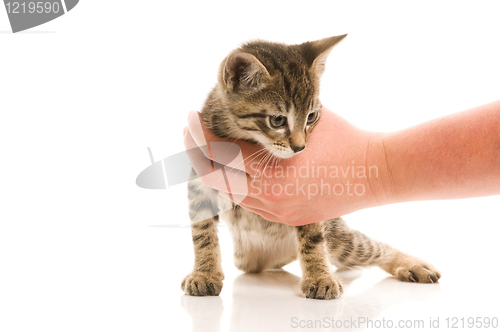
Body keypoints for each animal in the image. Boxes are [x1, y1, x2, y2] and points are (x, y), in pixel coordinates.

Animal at [182, 35, 440, 300]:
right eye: (277, 120)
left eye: (311, 117)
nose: (300, 147)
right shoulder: (199, 182)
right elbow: (202, 233)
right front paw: (204, 272)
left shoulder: (306, 201)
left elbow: (313, 239)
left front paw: (320, 276)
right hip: (249, 259)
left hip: (340, 239)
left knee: (374, 247)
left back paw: (410, 264)